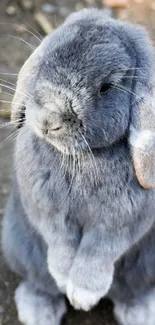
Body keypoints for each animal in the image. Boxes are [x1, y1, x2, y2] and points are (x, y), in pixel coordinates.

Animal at [1, 8, 155, 324]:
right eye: (46, 60)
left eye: (106, 87)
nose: (48, 120)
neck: (83, 157)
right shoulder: (48, 211)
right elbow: (60, 241)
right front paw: (64, 280)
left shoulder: (120, 223)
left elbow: (99, 251)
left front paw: (83, 296)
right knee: (38, 282)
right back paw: (39, 312)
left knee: (132, 291)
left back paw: (140, 313)